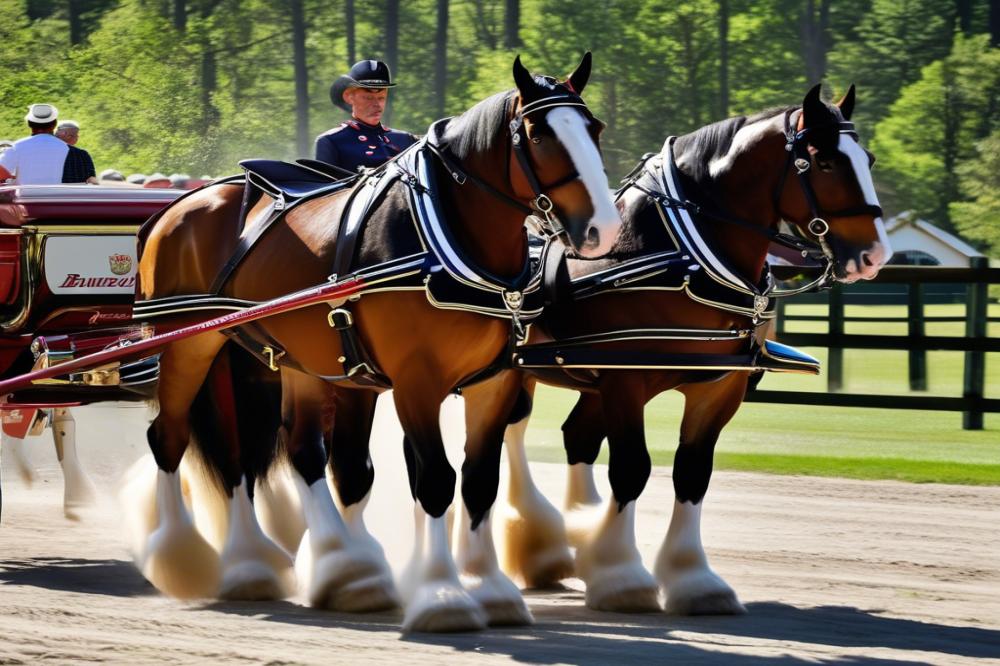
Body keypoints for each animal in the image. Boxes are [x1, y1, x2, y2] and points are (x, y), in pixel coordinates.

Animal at [130, 54, 620, 632]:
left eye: (594, 128)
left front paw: (491, 591)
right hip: (188, 345)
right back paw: (187, 556)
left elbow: (478, 481)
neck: (447, 242)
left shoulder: (494, 383)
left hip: (293, 362)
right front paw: (443, 597)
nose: (603, 229)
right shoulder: (416, 383)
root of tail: (178, 203)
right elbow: (435, 480)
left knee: (291, 453)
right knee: (173, 437)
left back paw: (331, 568)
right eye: (540, 134)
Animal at [496, 83, 896, 612]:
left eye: (867, 158)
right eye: (825, 162)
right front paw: (623, 578)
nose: (875, 255)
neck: (678, 255)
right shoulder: (625, 381)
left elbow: (692, 474)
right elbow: (632, 469)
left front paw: (694, 581)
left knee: (573, 436)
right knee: (513, 432)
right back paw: (540, 544)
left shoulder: (719, 388)